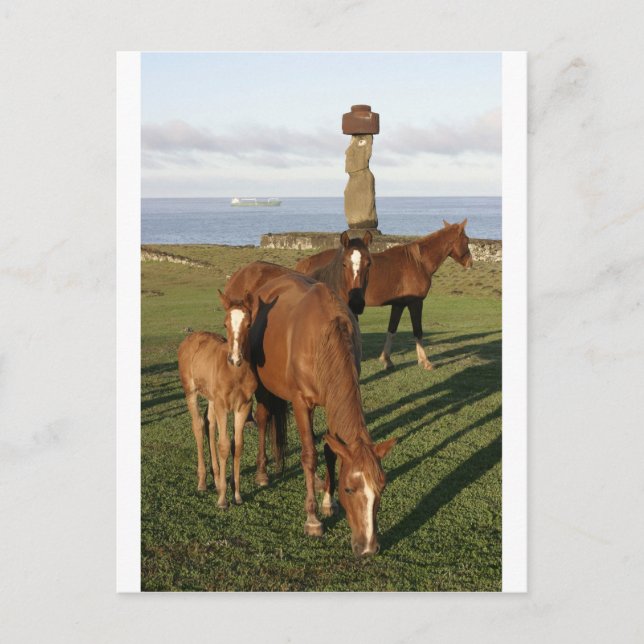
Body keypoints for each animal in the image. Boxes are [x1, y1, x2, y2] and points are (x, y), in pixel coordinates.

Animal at [177, 290, 257, 508]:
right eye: (225, 324)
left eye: (249, 324)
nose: (235, 358)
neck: (235, 373)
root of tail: (191, 337)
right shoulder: (222, 405)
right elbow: (224, 445)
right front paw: (222, 499)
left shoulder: (243, 406)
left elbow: (237, 445)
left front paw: (236, 494)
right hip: (191, 392)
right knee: (198, 425)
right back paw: (203, 481)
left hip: (212, 399)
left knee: (209, 424)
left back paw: (216, 477)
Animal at [248, 273, 396, 556]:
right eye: (350, 489)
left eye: (382, 487)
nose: (368, 547)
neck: (323, 337)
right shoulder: (300, 403)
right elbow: (309, 456)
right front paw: (313, 518)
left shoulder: (331, 400)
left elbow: (330, 450)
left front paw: (328, 501)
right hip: (262, 385)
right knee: (262, 420)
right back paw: (261, 473)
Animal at [296, 220, 473, 370]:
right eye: (466, 240)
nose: (470, 263)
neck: (417, 262)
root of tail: (306, 264)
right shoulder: (415, 303)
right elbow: (418, 331)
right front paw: (425, 361)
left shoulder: (399, 305)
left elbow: (392, 330)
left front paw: (386, 360)